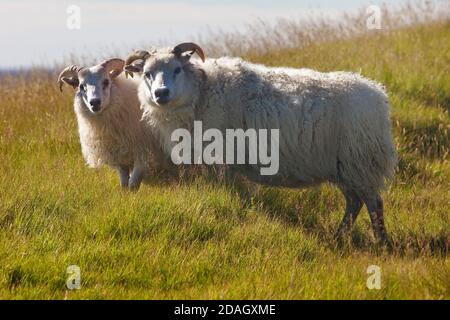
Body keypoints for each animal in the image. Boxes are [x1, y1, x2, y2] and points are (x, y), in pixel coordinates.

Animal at [56, 59, 169, 190]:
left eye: (106, 81)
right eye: (81, 86)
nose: (95, 102)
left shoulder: (144, 153)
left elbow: (133, 184)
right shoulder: (119, 156)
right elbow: (124, 183)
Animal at [124, 43, 398, 245]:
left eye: (177, 69)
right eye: (147, 74)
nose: (161, 93)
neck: (202, 92)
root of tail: (379, 95)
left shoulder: (223, 159)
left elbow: (230, 193)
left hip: (360, 160)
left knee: (374, 203)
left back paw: (381, 243)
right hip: (346, 167)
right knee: (354, 202)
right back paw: (339, 236)